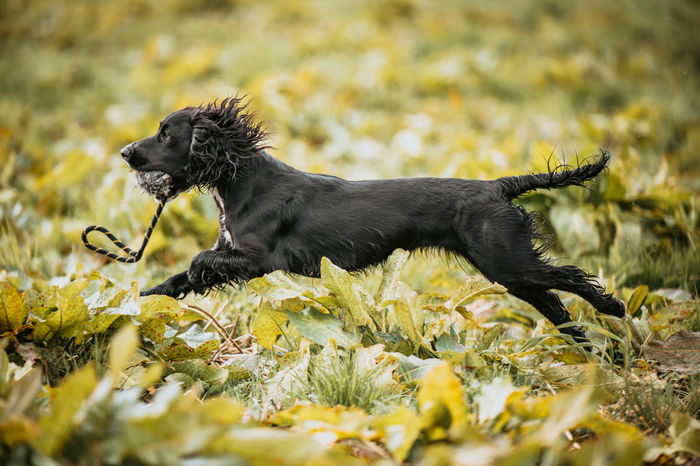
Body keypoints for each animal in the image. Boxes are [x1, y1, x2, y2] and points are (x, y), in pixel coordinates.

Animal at [120, 96, 624, 342]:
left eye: (167, 133)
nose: (125, 152)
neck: (243, 179)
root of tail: (498, 185)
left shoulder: (259, 259)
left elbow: (199, 262)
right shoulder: (235, 256)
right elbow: (178, 278)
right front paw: (138, 302)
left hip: (507, 261)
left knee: (572, 277)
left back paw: (613, 310)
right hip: (509, 271)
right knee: (557, 305)